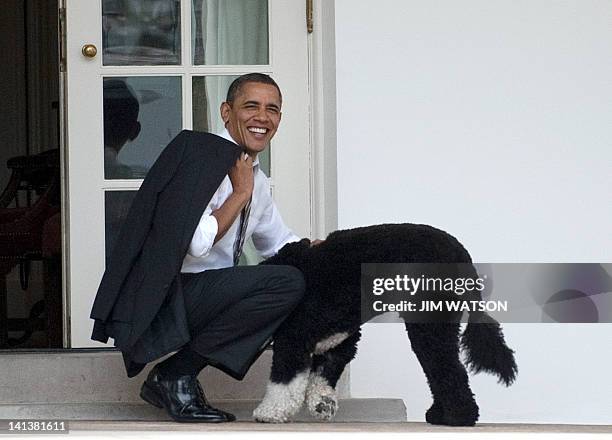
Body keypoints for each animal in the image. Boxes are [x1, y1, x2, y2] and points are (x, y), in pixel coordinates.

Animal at [252, 223, 516, 426]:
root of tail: (462, 256)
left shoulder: (294, 337)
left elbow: (283, 381)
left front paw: (269, 412)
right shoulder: (338, 343)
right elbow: (322, 375)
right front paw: (322, 404)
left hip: (429, 323)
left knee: (448, 369)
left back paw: (459, 417)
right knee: (440, 370)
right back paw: (440, 415)